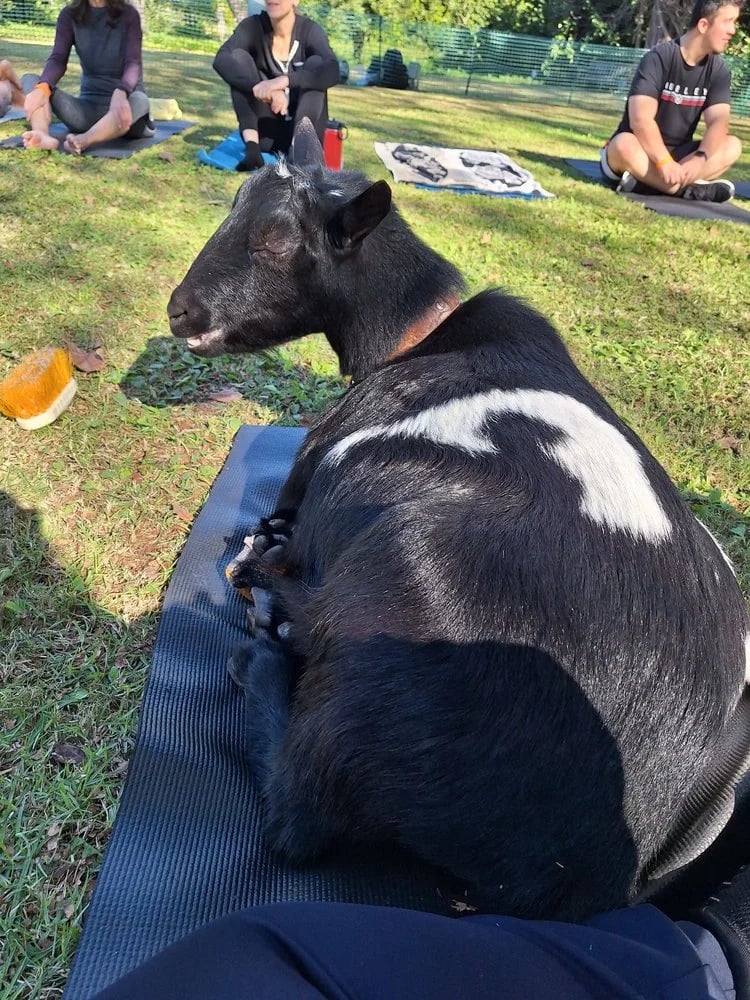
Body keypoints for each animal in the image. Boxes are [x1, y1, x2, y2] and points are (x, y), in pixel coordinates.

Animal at [167, 125, 749, 921]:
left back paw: (263, 643)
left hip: (397, 605)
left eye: (279, 240)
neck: (423, 334)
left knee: (299, 811)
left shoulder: (314, 461)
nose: (180, 311)